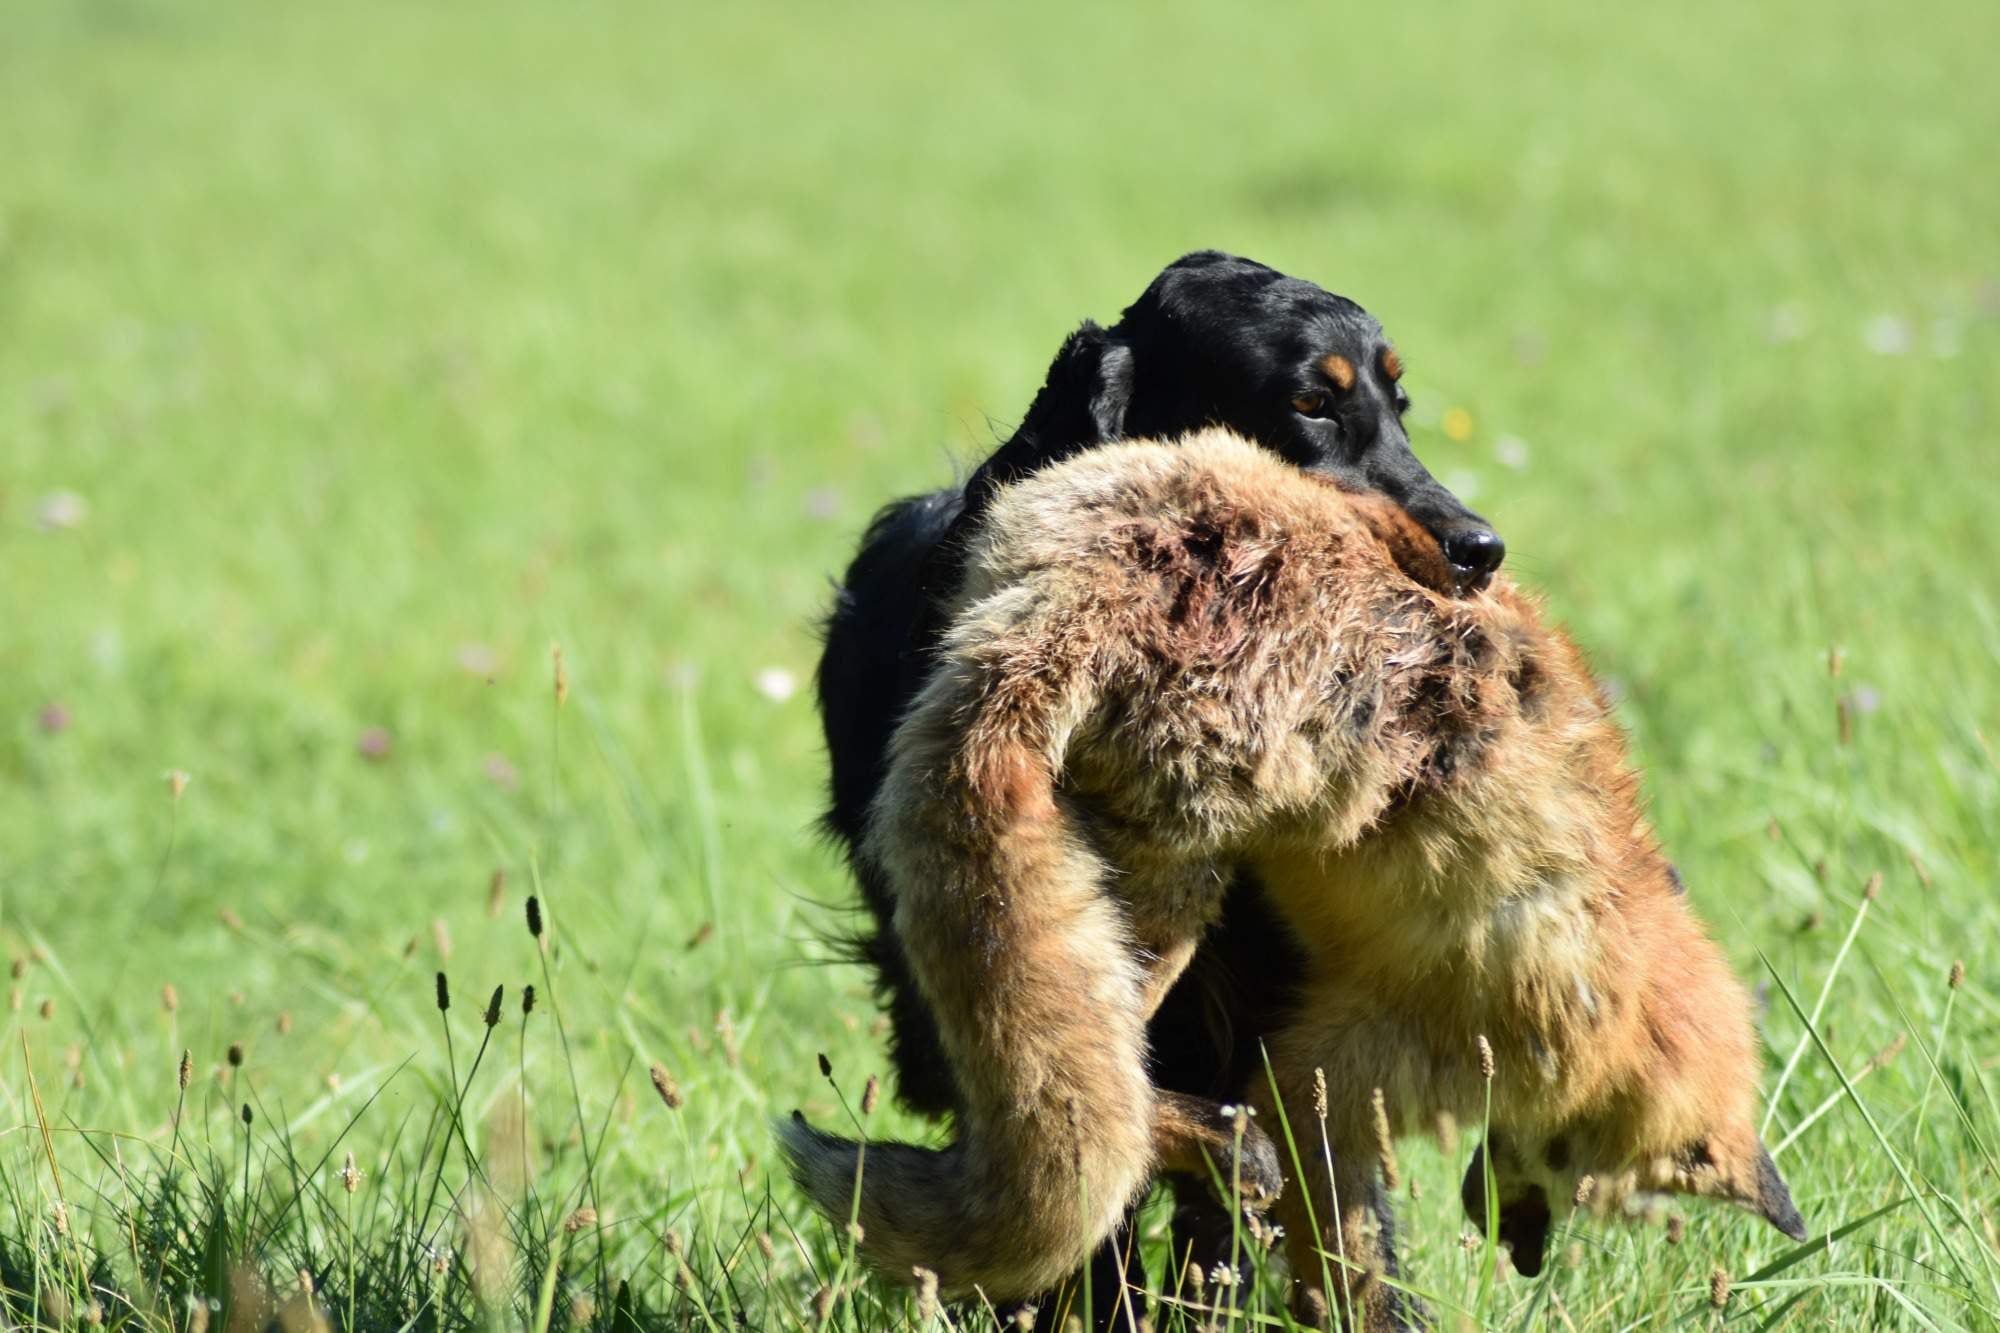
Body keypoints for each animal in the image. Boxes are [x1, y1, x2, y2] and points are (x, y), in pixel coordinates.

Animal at [787, 432, 1803, 1324]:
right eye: (1587, 1185)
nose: (1520, 1255)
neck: (1619, 971)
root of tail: (1063, 615)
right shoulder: (1331, 1074)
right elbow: (1346, 1260)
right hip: (1173, 900)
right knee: (1110, 1101)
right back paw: (1210, 1141)